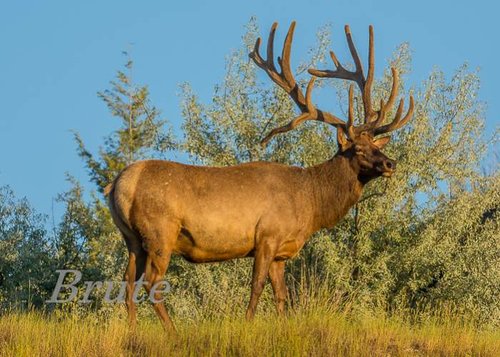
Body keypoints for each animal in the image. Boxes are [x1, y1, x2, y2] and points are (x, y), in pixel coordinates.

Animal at [105, 20, 414, 330]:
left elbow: (281, 294)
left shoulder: (281, 252)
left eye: (377, 146)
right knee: (152, 282)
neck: (310, 201)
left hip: (132, 238)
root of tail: (119, 183)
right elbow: (257, 286)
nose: (390, 164)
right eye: (359, 149)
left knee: (127, 282)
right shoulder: (267, 235)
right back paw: (172, 331)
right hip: (160, 231)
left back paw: (133, 328)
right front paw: (248, 322)